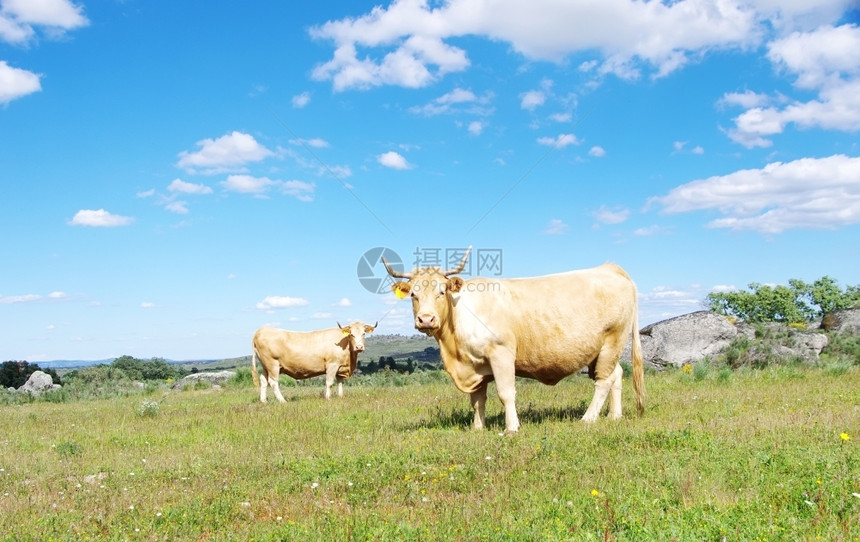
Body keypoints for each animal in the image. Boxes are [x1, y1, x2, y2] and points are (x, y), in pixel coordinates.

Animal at [384, 249, 644, 436]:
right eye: (413, 294)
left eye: (441, 291)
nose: (426, 319)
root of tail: (610, 268)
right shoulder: (475, 364)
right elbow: (477, 400)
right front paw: (477, 427)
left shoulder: (501, 354)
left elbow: (506, 392)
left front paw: (511, 428)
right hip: (600, 351)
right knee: (616, 375)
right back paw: (614, 416)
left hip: (613, 340)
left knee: (604, 381)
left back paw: (588, 419)